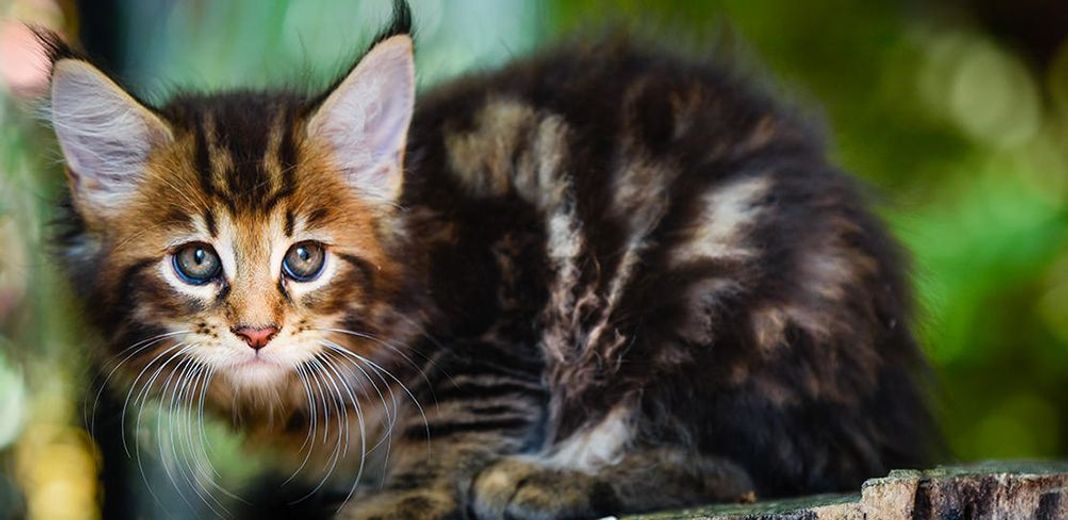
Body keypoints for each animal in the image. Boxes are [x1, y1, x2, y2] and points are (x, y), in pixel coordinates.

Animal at [39, 2, 935, 518]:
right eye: (196, 261)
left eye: (305, 259)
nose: (257, 332)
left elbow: (454, 415)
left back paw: (553, 480)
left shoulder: (499, 295)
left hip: (707, 309)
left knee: (746, 463)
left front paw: (399, 498)